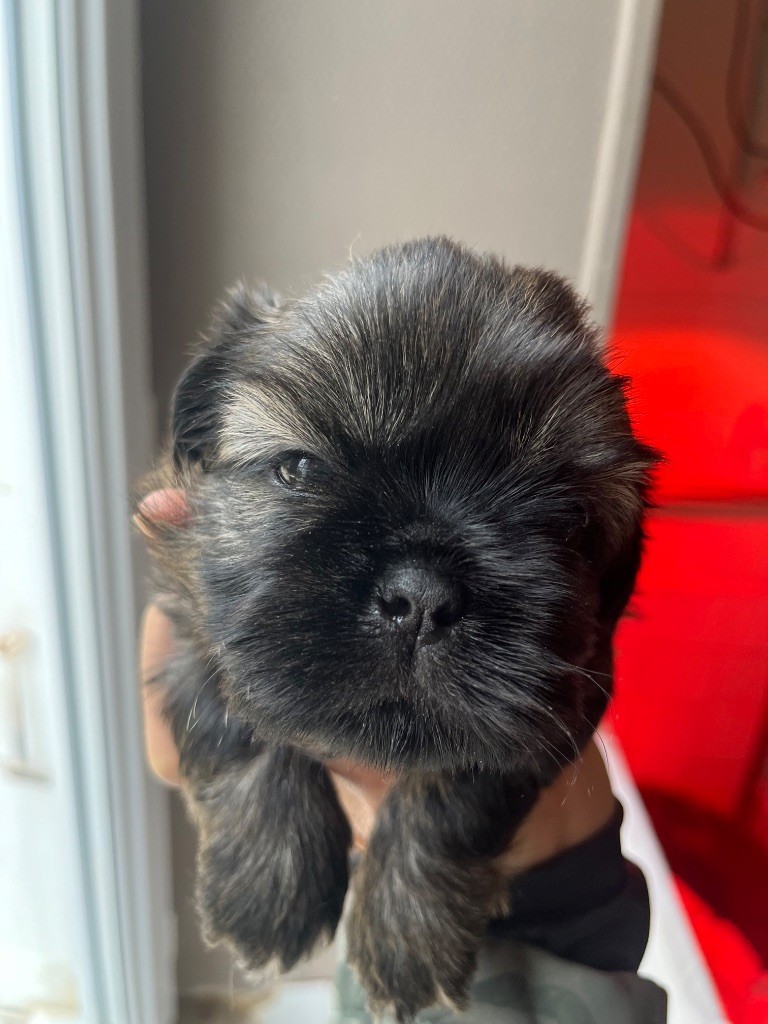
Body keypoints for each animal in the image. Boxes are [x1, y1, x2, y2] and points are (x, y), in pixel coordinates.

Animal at [137, 237, 656, 1022]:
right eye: (300, 469)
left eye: (562, 519)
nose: (421, 596)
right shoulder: (185, 603)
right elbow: (238, 717)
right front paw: (266, 888)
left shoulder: (555, 699)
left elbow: (454, 785)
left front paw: (408, 933)